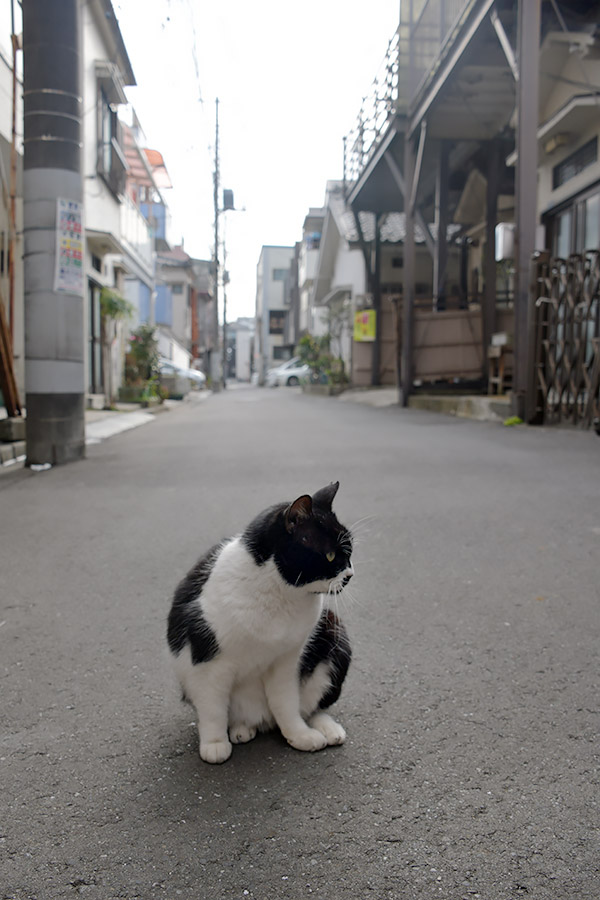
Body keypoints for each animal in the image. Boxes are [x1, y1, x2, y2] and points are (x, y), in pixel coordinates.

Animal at [166, 482, 354, 764]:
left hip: (336, 633)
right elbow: (212, 709)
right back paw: (241, 729)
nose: (350, 575)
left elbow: (286, 703)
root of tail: (264, 721)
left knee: (309, 708)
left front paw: (299, 735)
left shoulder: (288, 659)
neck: (282, 594)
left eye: (350, 552)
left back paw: (326, 728)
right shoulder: (208, 664)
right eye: (331, 556)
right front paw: (214, 744)